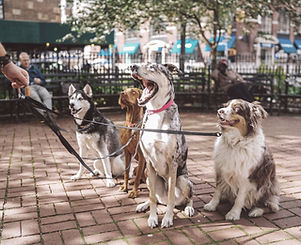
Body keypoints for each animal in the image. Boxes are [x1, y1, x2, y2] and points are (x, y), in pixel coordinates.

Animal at [130, 64, 193, 229]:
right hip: (147, 177)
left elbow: (171, 196)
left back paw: (189, 208)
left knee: (187, 198)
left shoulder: (172, 163)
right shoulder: (149, 163)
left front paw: (167, 218)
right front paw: (152, 218)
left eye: (152, 67)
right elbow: (152, 197)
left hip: (184, 181)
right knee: (156, 198)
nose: (132, 66)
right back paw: (143, 205)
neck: (156, 111)